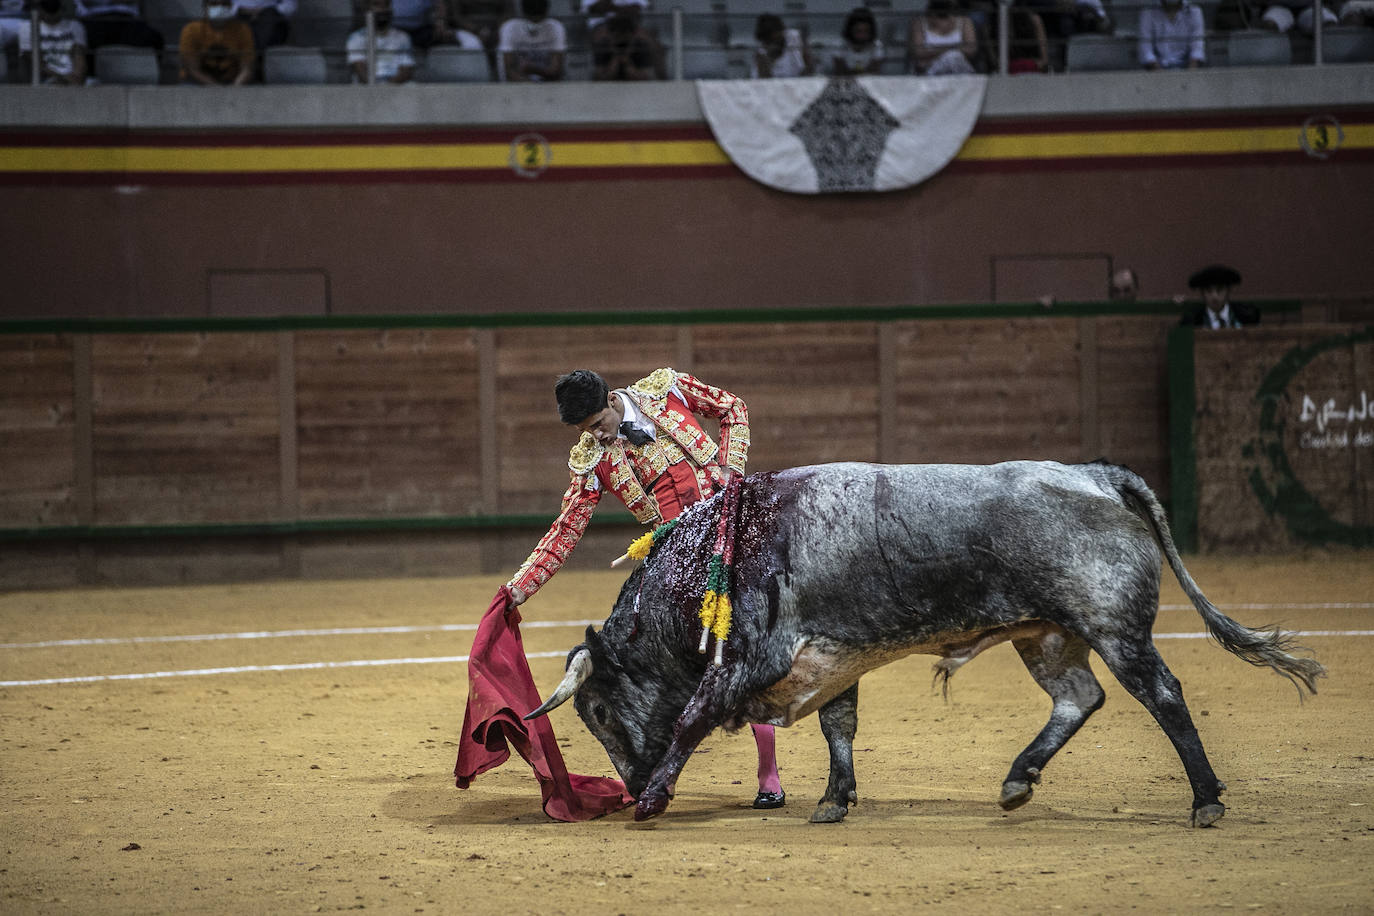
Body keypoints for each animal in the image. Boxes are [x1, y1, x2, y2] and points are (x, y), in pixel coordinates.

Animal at [522, 461, 1319, 829]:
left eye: (596, 712)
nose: (628, 785)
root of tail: (1095, 473)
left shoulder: (752, 659)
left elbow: (691, 719)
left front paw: (656, 799)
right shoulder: (832, 658)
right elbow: (839, 727)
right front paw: (834, 801)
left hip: (1115, 630)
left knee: (1162, 695)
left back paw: (1206, 800)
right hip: (1050, 637)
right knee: (1079, 697)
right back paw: (1018, 779)